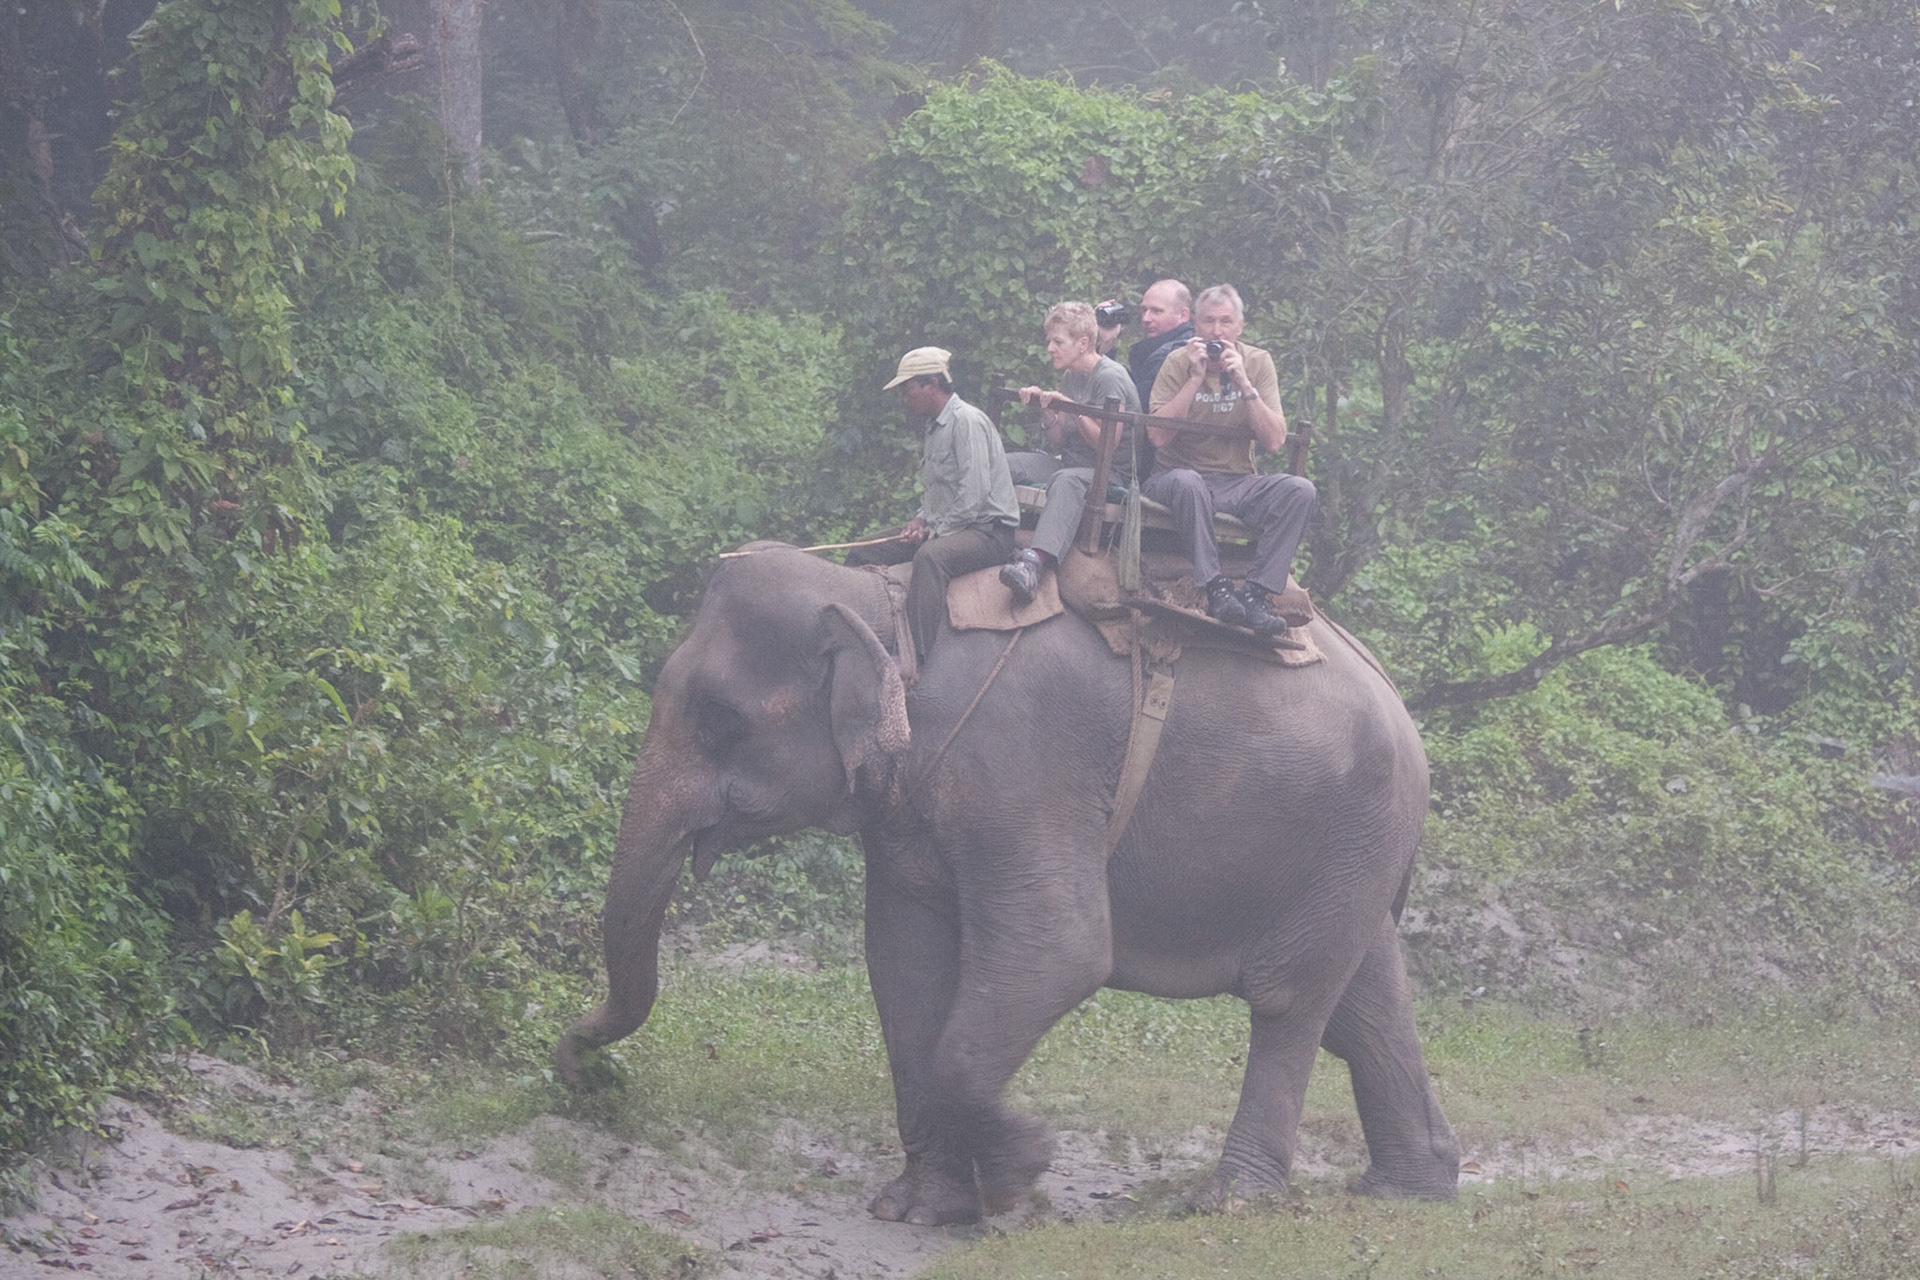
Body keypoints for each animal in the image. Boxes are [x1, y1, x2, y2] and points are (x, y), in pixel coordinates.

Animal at [557, 543, 1459, 1225]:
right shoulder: (909, 804)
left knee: (1289, 1000)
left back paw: (1230, 1203)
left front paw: (1023, 1171)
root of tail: (1398, 698)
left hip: (1350, 830)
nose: (570, 1059)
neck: (889, 604)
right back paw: (1412, 1188)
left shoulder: (1025, 763)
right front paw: (918, 1208)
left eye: (719, 718)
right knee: (1362, 1002)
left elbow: (1059, 951)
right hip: (1350, 849)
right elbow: (903, 964)